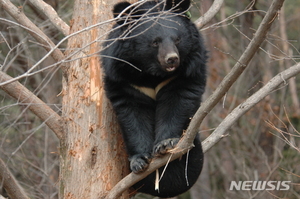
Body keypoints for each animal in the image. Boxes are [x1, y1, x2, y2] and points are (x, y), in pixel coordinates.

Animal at [101, 0, 206, 197]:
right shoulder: (124, 78)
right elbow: (133, 115)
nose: (172, 59)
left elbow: (177, 103)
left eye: (177, 39)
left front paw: (165, 144)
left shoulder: (186, 70)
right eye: (155, 42)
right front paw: (139, 160)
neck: (152, 73)